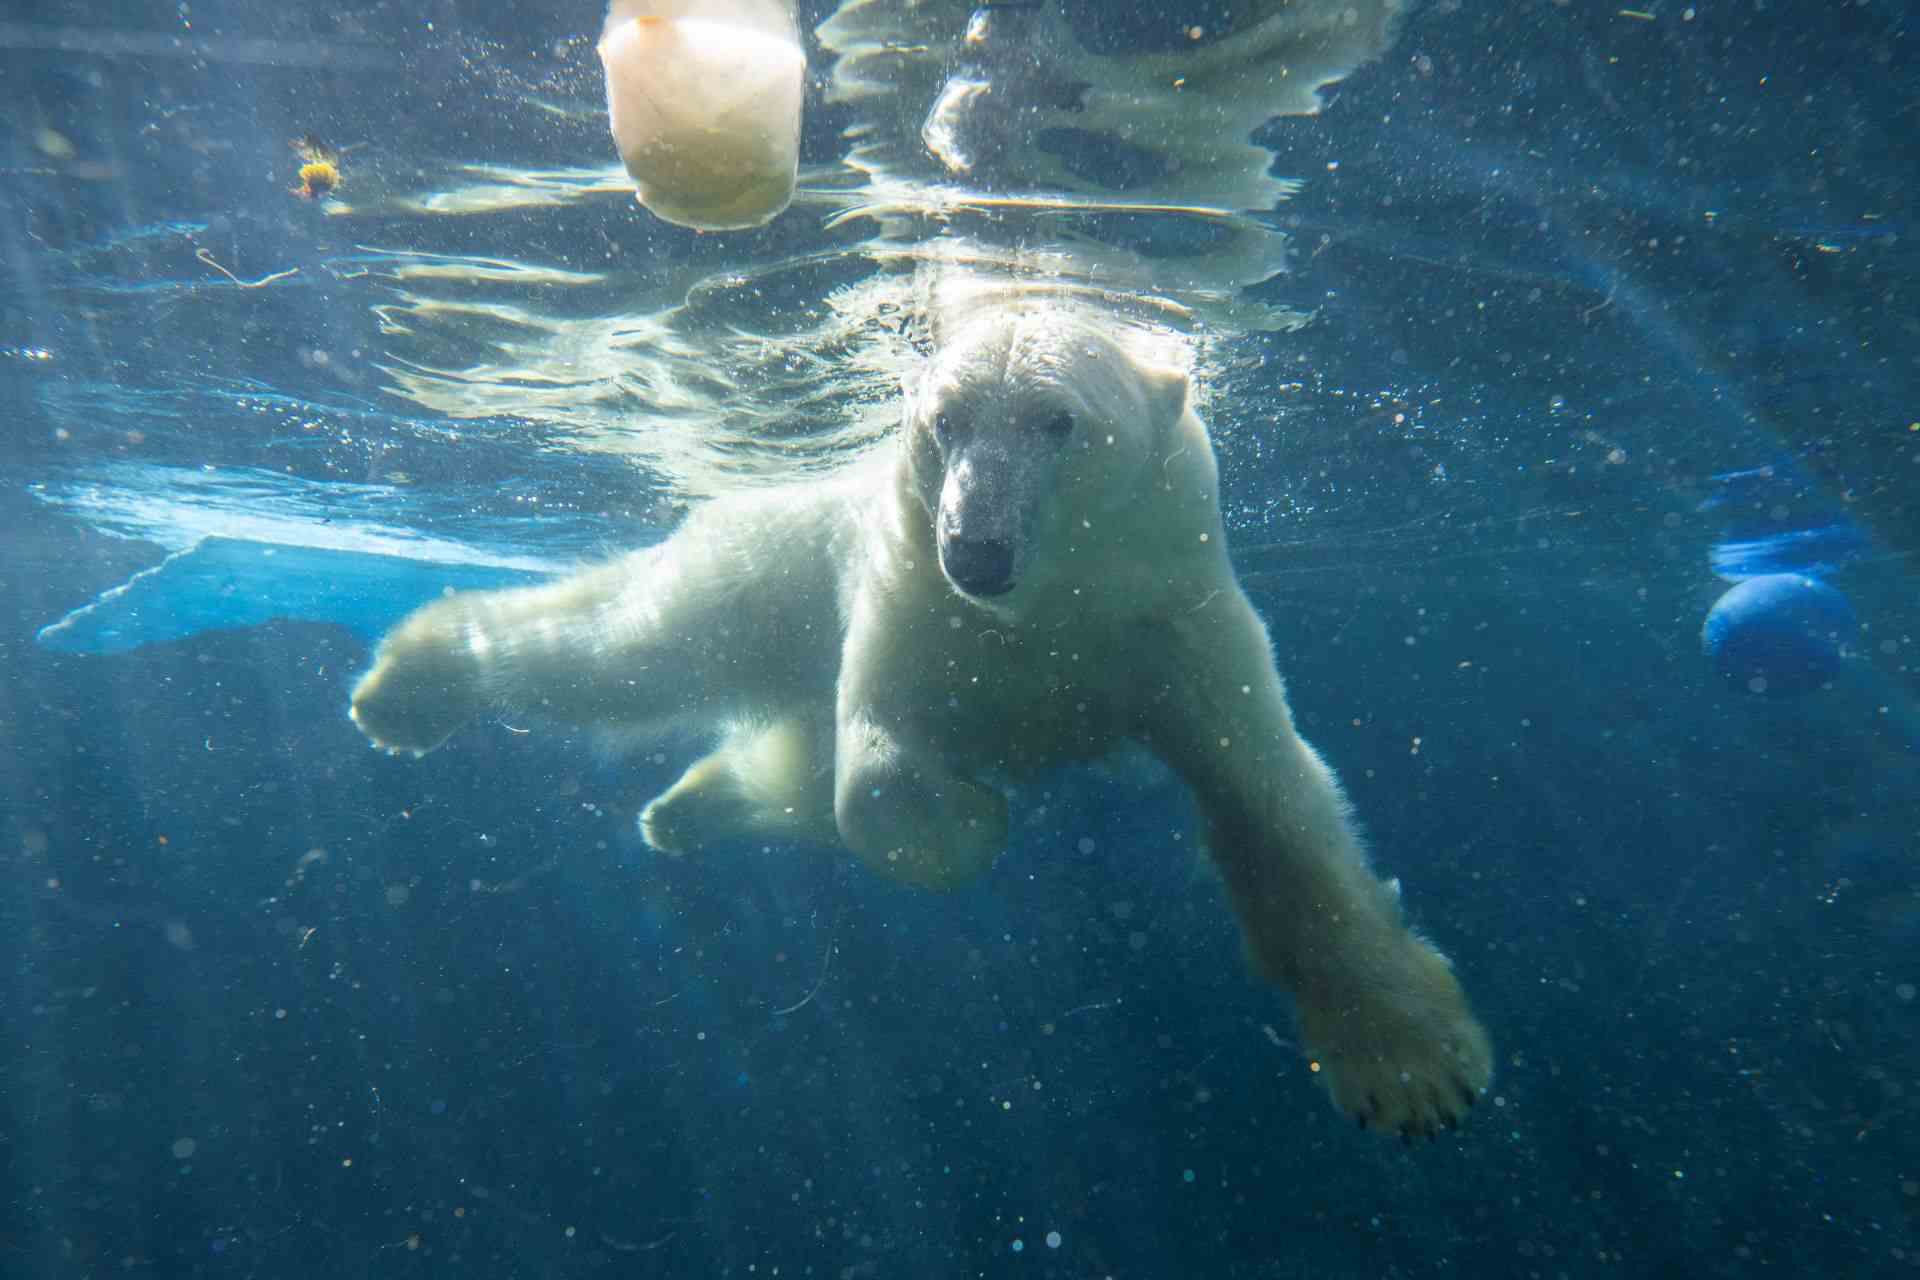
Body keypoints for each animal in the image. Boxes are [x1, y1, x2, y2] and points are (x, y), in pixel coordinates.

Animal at [348, 294, 1494, 1139]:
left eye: (1057, 420)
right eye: (943, 420)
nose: (974, 549)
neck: (1049, 606)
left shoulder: (1173, 613)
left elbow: (1275, 800)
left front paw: (1409, 1062)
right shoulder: (909, 594)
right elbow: (877, 769)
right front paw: (975, 812)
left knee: (760, 753)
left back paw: (680, 806)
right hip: (766, 565)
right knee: (635, 645)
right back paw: (410, 682)